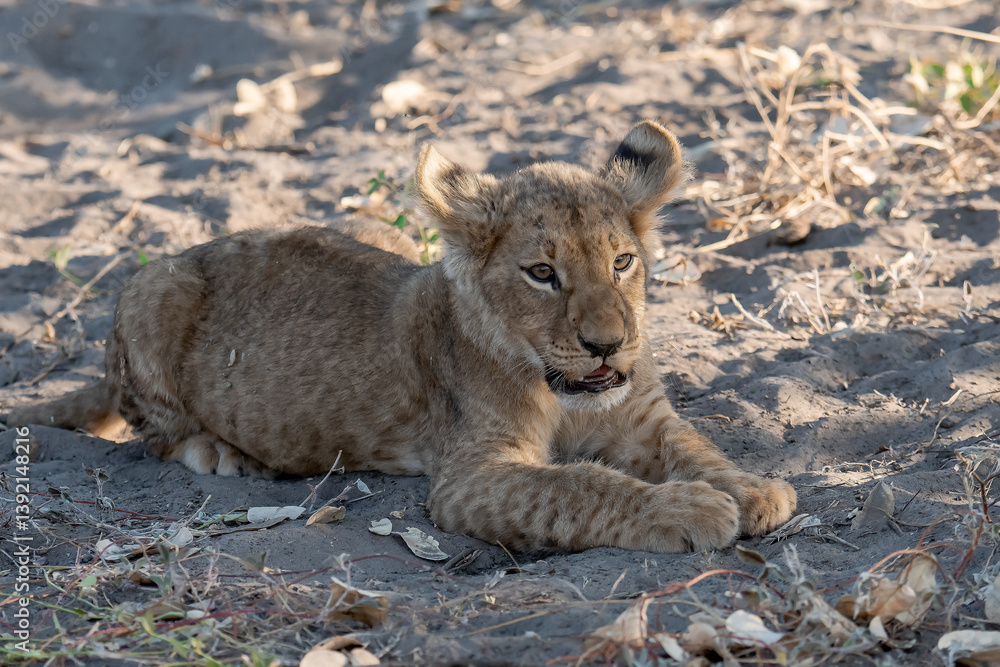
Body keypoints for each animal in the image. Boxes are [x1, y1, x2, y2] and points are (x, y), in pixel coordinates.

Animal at [9, 121, 796, 553]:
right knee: (155, 431)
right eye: (543, 273)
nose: (606, 344)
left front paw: (752, 489)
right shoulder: (470, 476)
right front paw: (687, 508)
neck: (567, 392)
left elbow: (695, 446)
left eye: (623, 262)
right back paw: (222, 454)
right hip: (153, 288)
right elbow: (580, 484)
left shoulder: (642, 418)